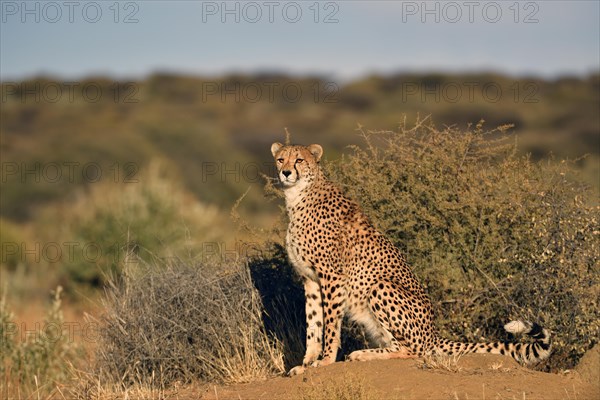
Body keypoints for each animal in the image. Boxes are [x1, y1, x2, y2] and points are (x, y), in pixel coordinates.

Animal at [270, 142, 552, 376]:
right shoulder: (310, 279)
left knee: (412, 351)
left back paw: (363, 355)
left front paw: (326, 360)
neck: (299, 197)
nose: (286, 173)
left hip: (380, 285)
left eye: (299, 160)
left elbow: (329, 324)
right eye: (281, 159)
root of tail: (433, 333)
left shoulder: (332, 276)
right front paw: (307, 363)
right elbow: (313, 324)